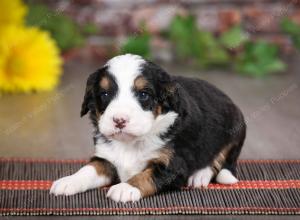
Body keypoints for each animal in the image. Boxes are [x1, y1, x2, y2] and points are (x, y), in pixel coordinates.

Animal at [49, 53, 246, 203]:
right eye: (104, 94)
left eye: (143, 94)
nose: (119, 120)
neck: (132, 143)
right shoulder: (105, 157)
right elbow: (89, 169)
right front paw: (69, 181)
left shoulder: (173, 165)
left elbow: (147, 175)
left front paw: (125, 188)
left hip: (235, 130)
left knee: (220, 158)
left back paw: (199, 176)